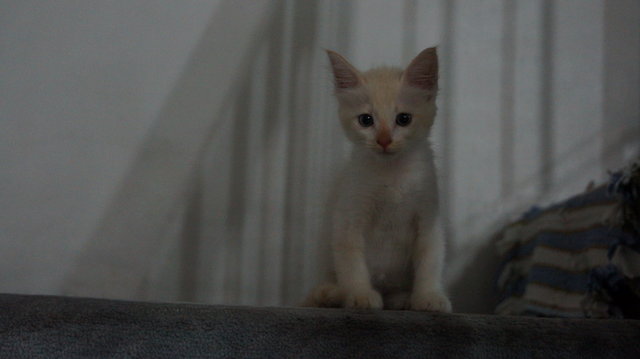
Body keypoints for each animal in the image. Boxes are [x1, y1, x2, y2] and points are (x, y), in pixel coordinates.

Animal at [302, 47, 452, 312]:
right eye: (366, 120)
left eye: (403, 119)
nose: (383, 140)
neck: (391, 174)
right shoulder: (348, 218)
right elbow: (352, 262)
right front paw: (360, 295)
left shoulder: (429, 217)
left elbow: (430, 259)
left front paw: (428, 296)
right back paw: (332, 294)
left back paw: (402, 299)